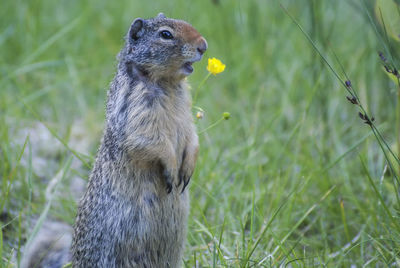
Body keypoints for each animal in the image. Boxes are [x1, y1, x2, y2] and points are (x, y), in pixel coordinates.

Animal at [22, 12, 206, 268]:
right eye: (166, 34)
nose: (203, 45)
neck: (167, 83)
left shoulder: (186, 116)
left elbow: (192, 137)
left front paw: (188, 168)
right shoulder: (137, 111)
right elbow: (149, 140)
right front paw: (171, 169)